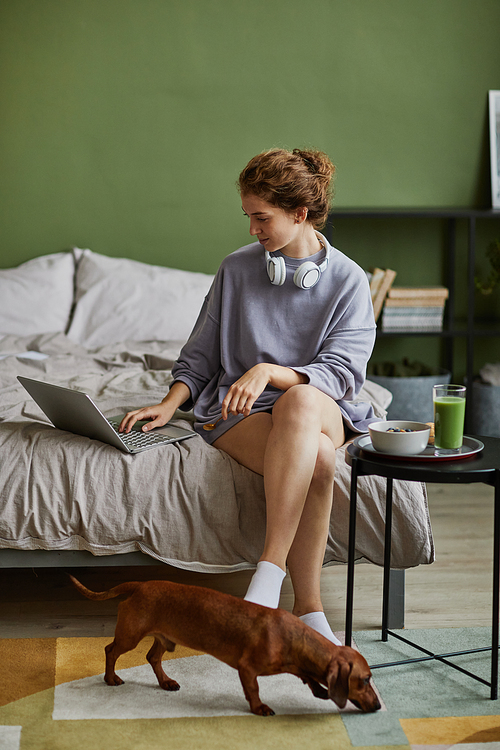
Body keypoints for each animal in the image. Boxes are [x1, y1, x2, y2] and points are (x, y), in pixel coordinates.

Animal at [69, 580, 378, 720]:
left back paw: (166, 682)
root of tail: (141, 585)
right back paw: (110, 678)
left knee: (152, 657)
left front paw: (319, 690)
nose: (377, 706)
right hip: (130, 636)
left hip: (162, 639)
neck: (293, 637)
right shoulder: (247, 668)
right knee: (110, 650)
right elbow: (253, 690)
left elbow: (308, 677)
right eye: (364, 680)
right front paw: (259, 707)